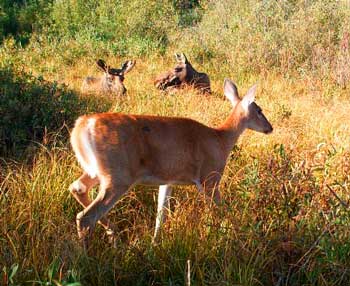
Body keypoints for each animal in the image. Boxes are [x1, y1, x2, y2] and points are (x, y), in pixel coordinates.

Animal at [69, 77, 274, 246]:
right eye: (259, 110)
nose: (270, 128)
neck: (221, 138)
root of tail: (82, 125)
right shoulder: (210, 178)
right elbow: (219, 210)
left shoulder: (168, 180)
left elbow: (161, 214)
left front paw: (155, 244)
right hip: (118, 175)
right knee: (86, 217)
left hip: (97, 171)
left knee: (77, 188)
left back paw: (114, 236)